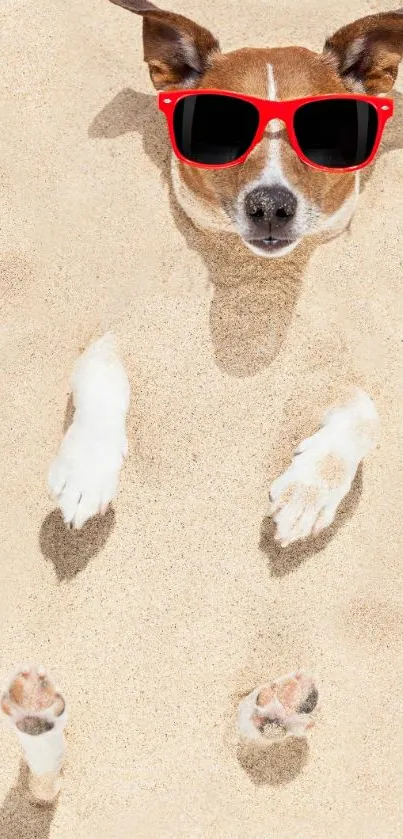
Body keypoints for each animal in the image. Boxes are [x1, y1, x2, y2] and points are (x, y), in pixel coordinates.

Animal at [46, 3, 400, 544]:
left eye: (327, 134)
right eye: (218, 129)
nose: (270, 205)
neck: (248, 285)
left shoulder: (331, 369)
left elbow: (367, 415)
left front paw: (309, 491)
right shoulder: (120, 333)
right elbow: (103, 378)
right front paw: (86, 469)